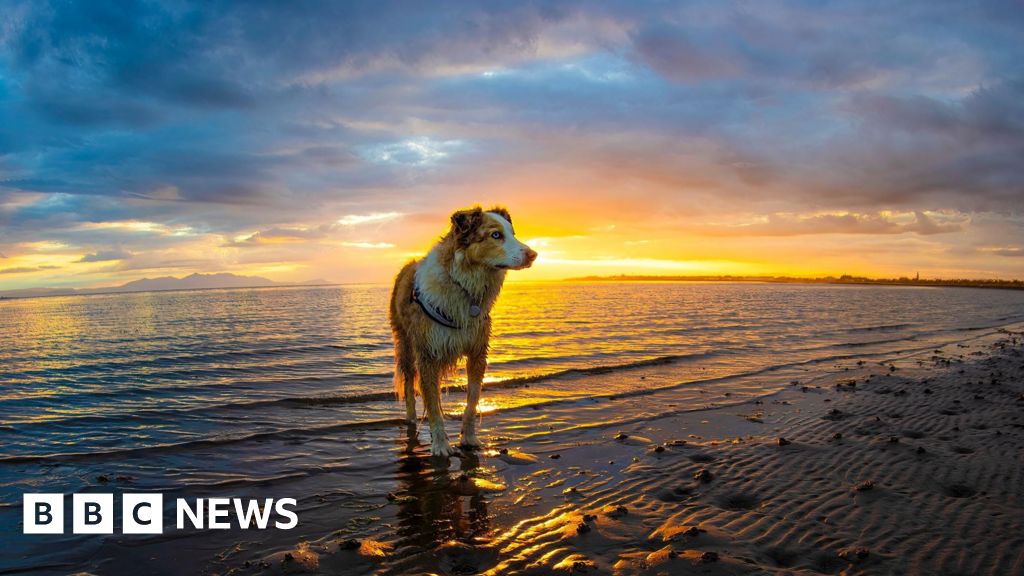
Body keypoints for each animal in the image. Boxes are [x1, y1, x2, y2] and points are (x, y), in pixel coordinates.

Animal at [389, 203, 536, 455]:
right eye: (495, 235)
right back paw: (411, 420)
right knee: (409, 386)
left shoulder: (478, 352)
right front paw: (440, 445)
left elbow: (472, 400)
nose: (533, 254)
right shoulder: (428, 354)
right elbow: (432, 404)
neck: (464, 284)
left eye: (513, 233)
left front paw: (468, 438)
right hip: (406, 345)